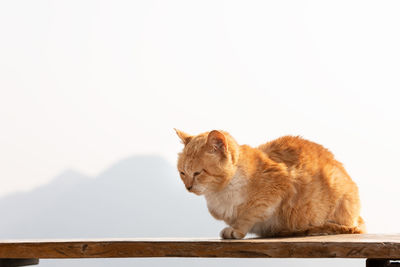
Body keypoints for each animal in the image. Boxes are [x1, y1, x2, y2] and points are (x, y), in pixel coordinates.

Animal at [175, 129, 366, 240]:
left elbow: (250, 213)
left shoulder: (280, 185)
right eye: (182, 173)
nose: (188, 187)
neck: (220, 193)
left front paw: (236, 230)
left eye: (198, 173)